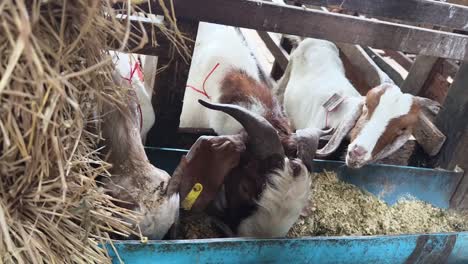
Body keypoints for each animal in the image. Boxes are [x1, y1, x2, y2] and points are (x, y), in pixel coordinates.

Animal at [276, 36, 440, 169]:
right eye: (366, 105)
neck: (340, 115)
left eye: (402, 128)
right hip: (289, 67)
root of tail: (318, 39)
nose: (357, 153)